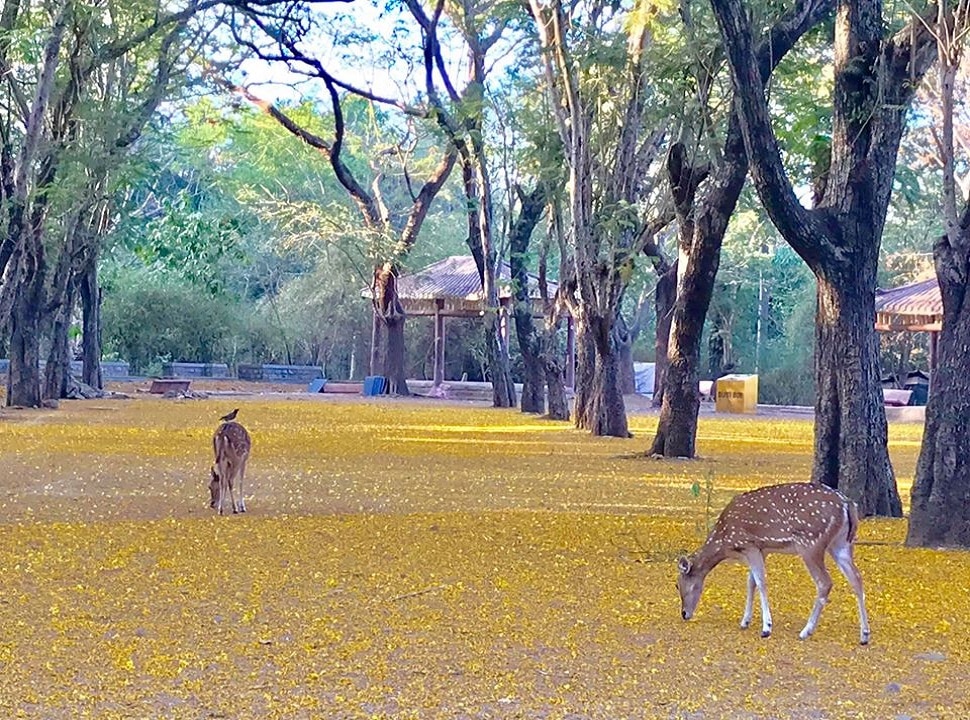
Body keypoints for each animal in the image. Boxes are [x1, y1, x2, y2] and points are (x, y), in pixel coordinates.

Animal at [672, 480, 868, 644]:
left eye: (677, 584)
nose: (684, 613)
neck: (724, 542)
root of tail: (846, 504)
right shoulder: (762, 549)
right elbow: (751, 582)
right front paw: (745, 621)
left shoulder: (749, 544)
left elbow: (760, 582)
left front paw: (766, 627)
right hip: (842, 544)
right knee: (857, 578)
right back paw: (865, 635)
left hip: (810, 543)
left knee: (825, 582)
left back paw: (806, 631)